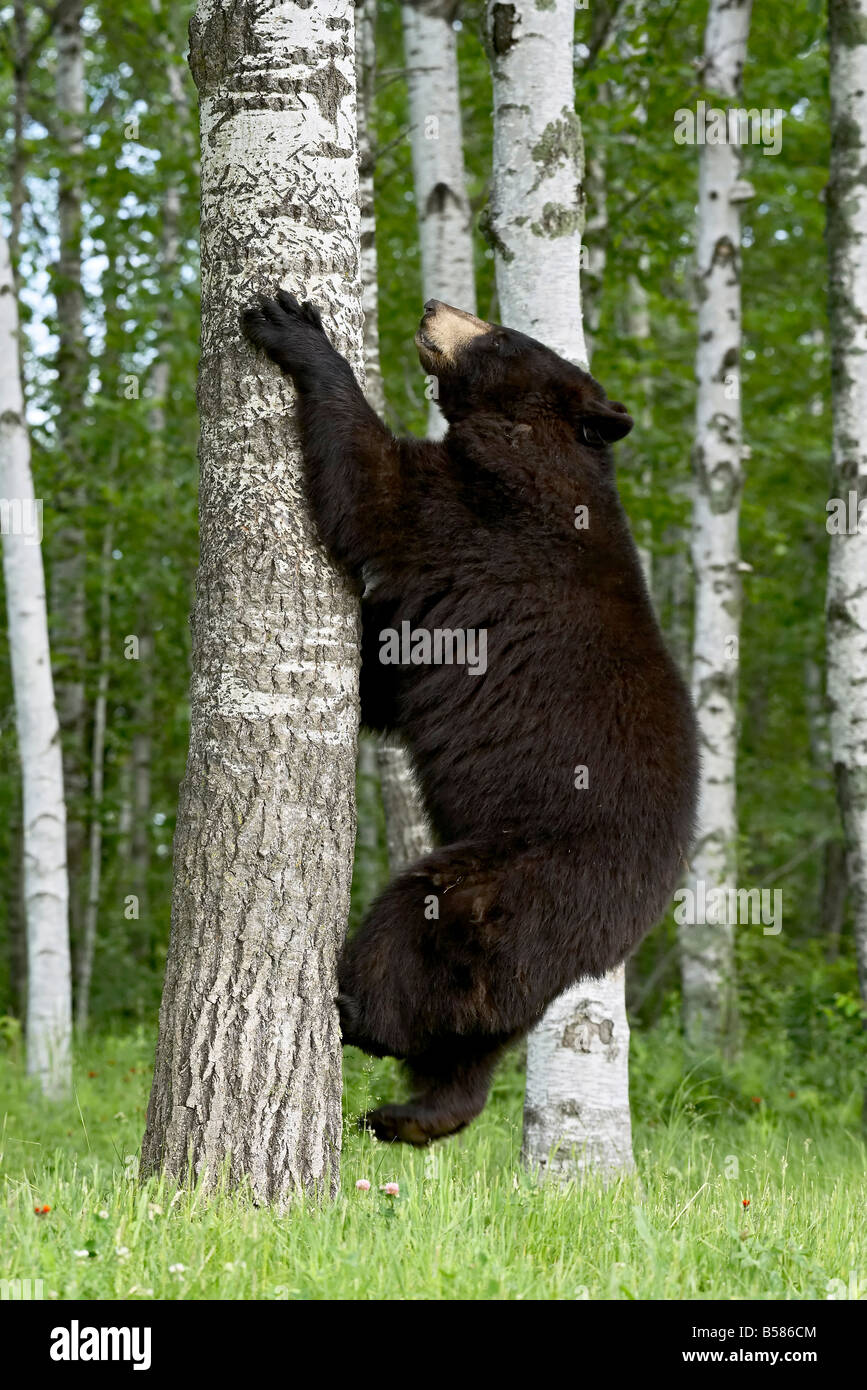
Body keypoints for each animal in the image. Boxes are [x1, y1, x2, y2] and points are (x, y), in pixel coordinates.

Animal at [241, 290, 697, 1139]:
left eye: (501, 333)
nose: (433, 306)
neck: (528, 444)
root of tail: (619, 934)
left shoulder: (480, 515)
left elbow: (373, 488)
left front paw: (293, 327)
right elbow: (389, 670)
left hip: (506, 880)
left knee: (411, 933)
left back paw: (353, 1010)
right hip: (516, 954)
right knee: (473, 1041)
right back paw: (408, 1113)